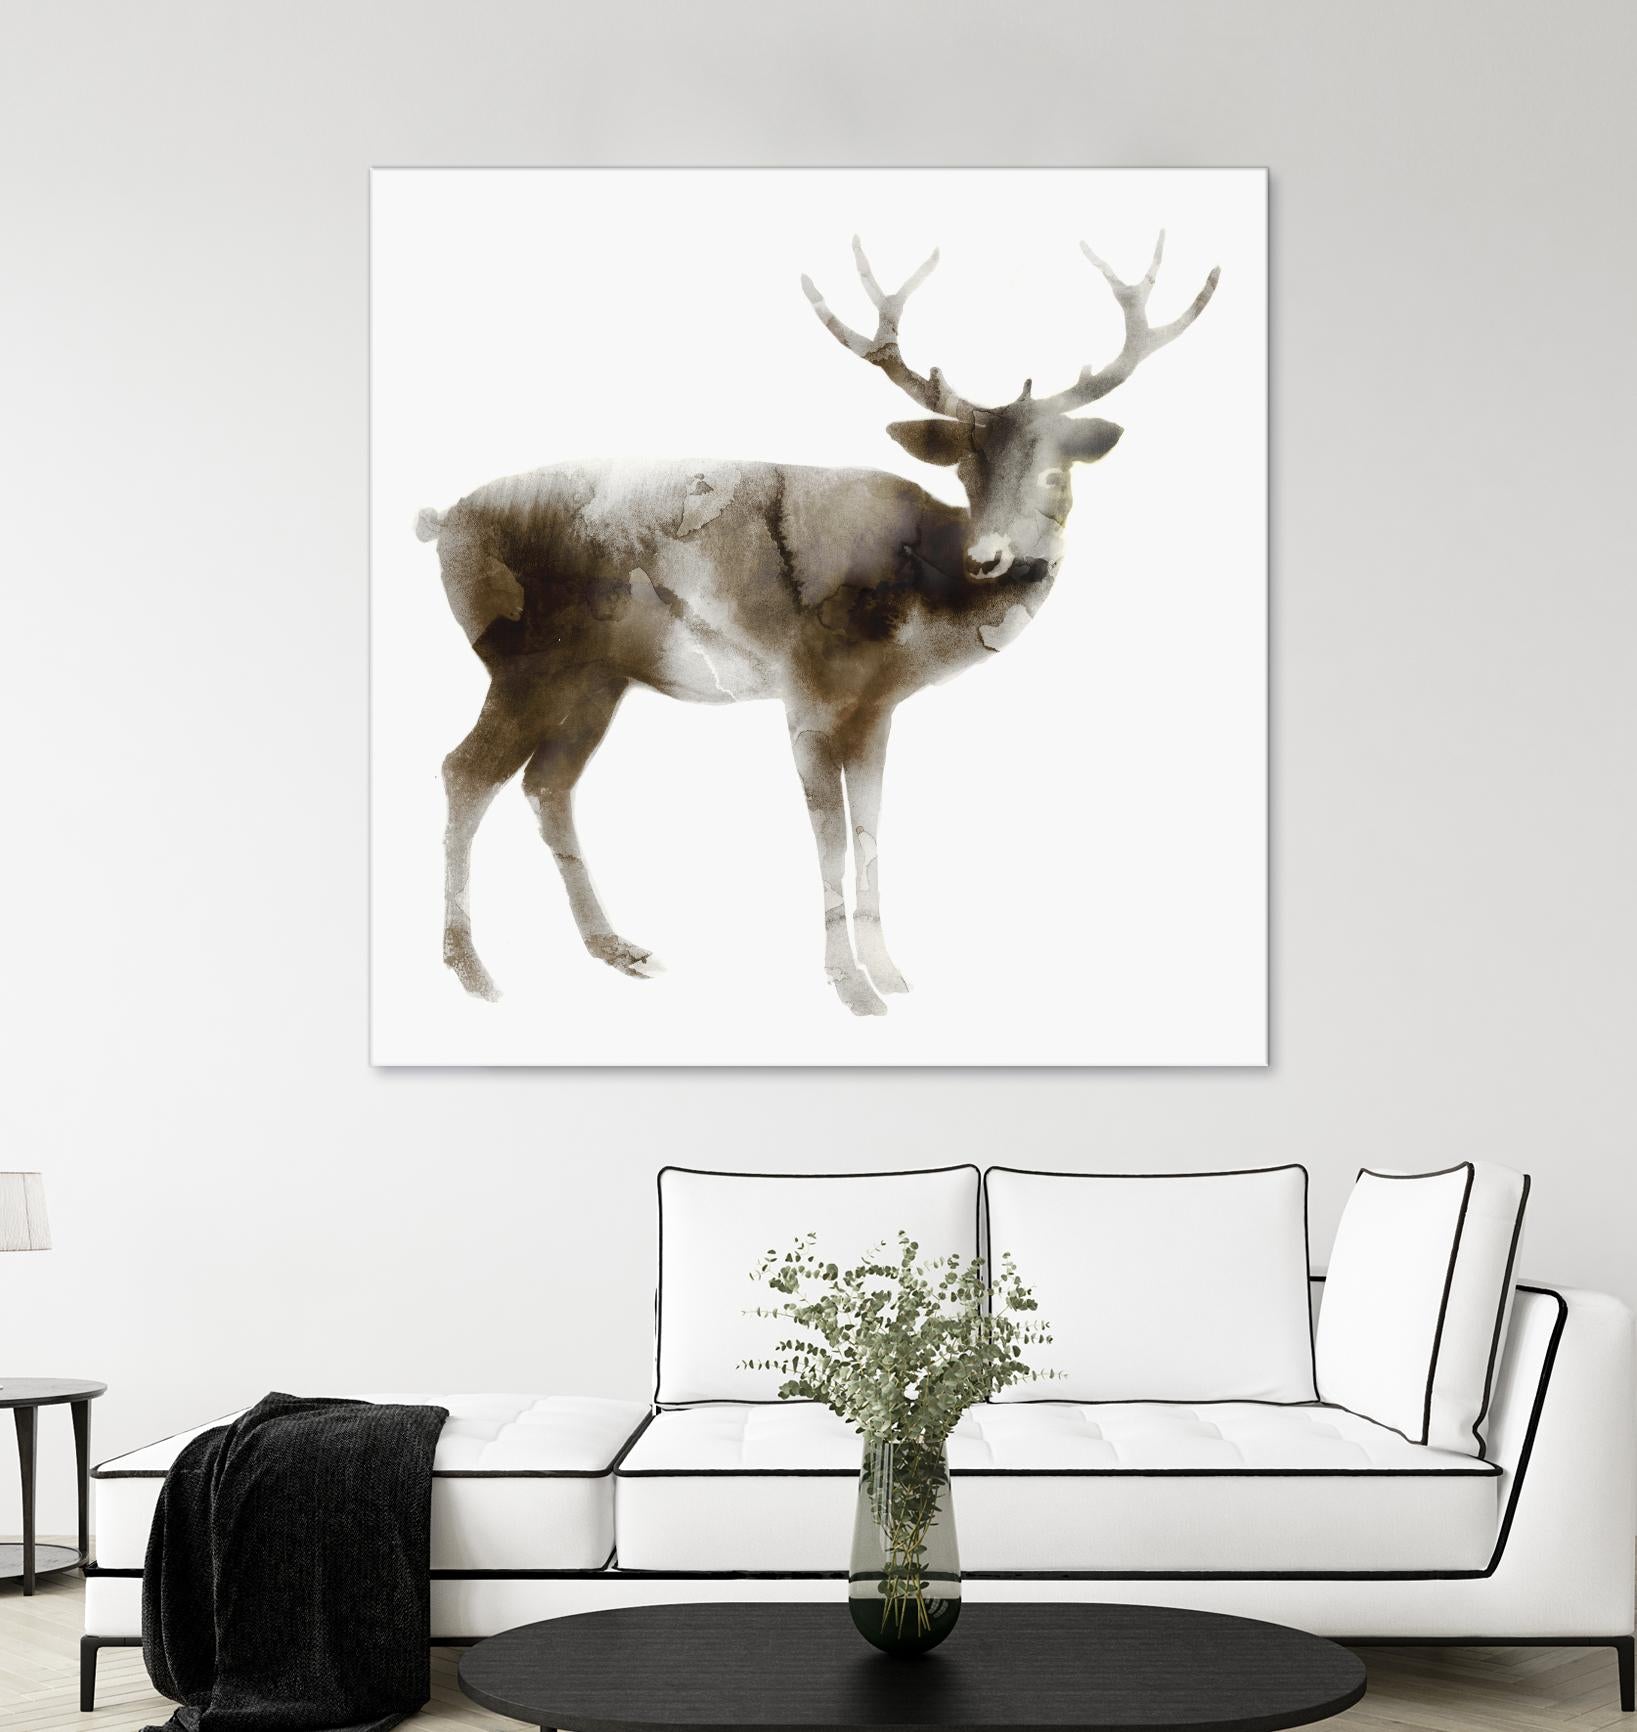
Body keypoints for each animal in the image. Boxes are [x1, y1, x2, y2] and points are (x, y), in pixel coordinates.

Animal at [415, 232, 1219, 1016]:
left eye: (1056, 471)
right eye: (965, 469)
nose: (990, 556)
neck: (918, 612)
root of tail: (441, 522)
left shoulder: (877, 710)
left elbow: (869, 829)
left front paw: (890, 972)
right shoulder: (806, 693)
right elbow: (829, 837)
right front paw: (850, 987)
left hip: (595, 680)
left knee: (547, 784)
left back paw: (615, 947)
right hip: (522, 662)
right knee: (465, 771)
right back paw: (471, 969)